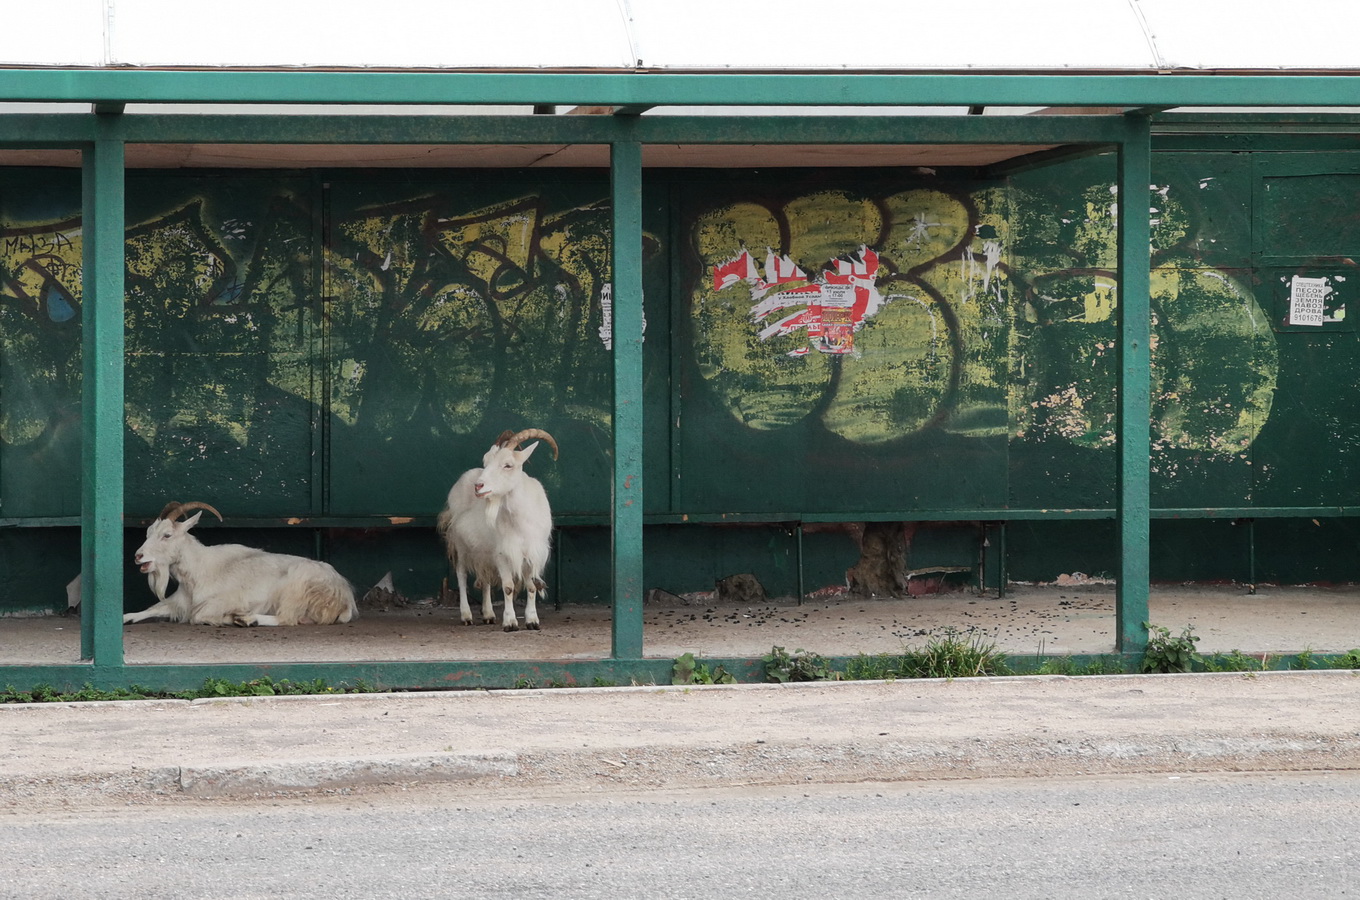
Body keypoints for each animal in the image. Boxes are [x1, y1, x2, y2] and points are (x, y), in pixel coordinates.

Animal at [125, 500, 359, 628]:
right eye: (148, 533)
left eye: (167, 535)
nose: (138, 556)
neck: (200, 569)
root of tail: (344, 595)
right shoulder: (179, 602)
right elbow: (151, 609)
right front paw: (126, 618)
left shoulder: (226, 599)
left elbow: (197, 616)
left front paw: (228, 618)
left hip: (295, 589)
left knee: (286, 619)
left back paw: (247, 620)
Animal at [440, 429, 557, 633]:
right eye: (486, 462)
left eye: (508, 465)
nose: (478, 486)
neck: (521, 522)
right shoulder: (503, 553)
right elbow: (508, 587)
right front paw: (510, 623)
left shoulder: (531, 553)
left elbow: (532, 586)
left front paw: (532, 621)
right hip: (461, 545)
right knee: (462, 575)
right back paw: (466, 616)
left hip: (484, 550)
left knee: (485, 577)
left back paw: (488, 615)